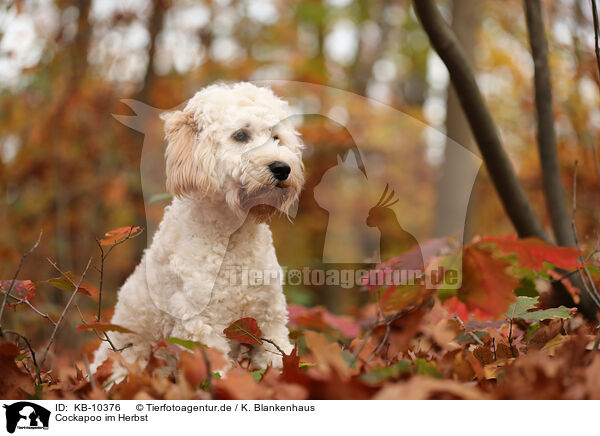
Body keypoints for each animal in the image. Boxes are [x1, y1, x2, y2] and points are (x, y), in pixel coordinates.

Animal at [93, 82, 304, 378]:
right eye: (241, 135)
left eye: (277, 138)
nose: (282, 168)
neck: (233, 236)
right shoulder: (200, 326)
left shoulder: (270, 319)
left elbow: (279, 360)